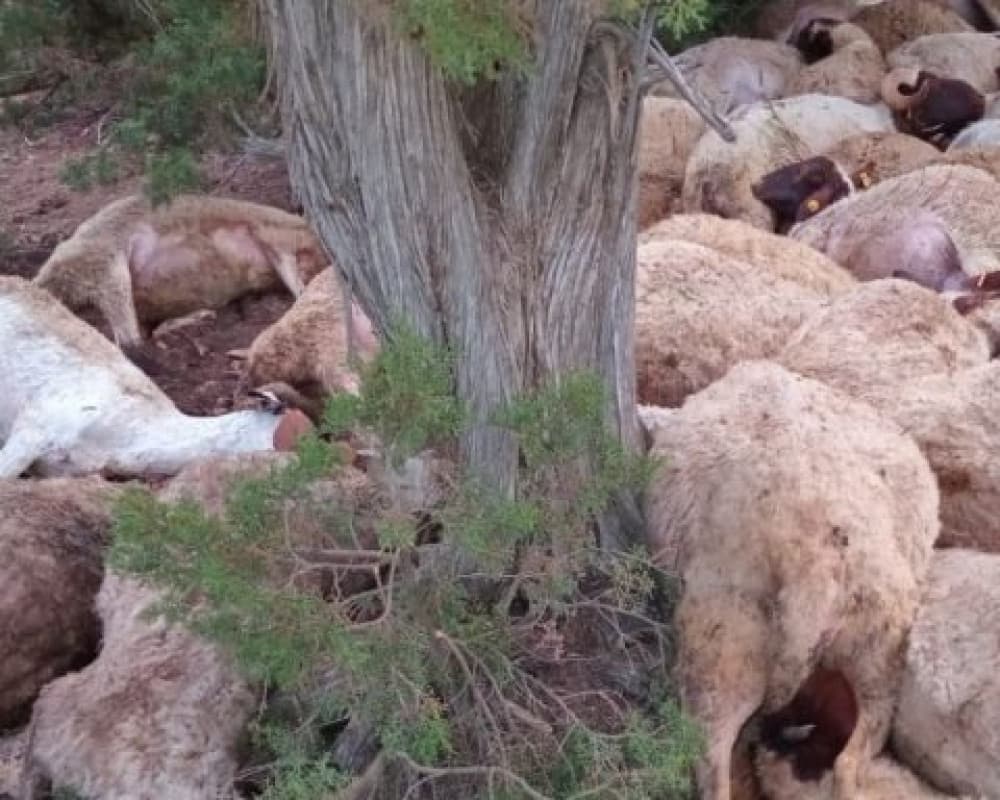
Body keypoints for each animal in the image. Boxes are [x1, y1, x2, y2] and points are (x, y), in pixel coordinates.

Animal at [33, 193, 329, 350]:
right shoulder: (273, 238)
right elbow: (296, 283)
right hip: (107, 265)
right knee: (130, 340)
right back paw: (199, 317)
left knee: (136, 335)